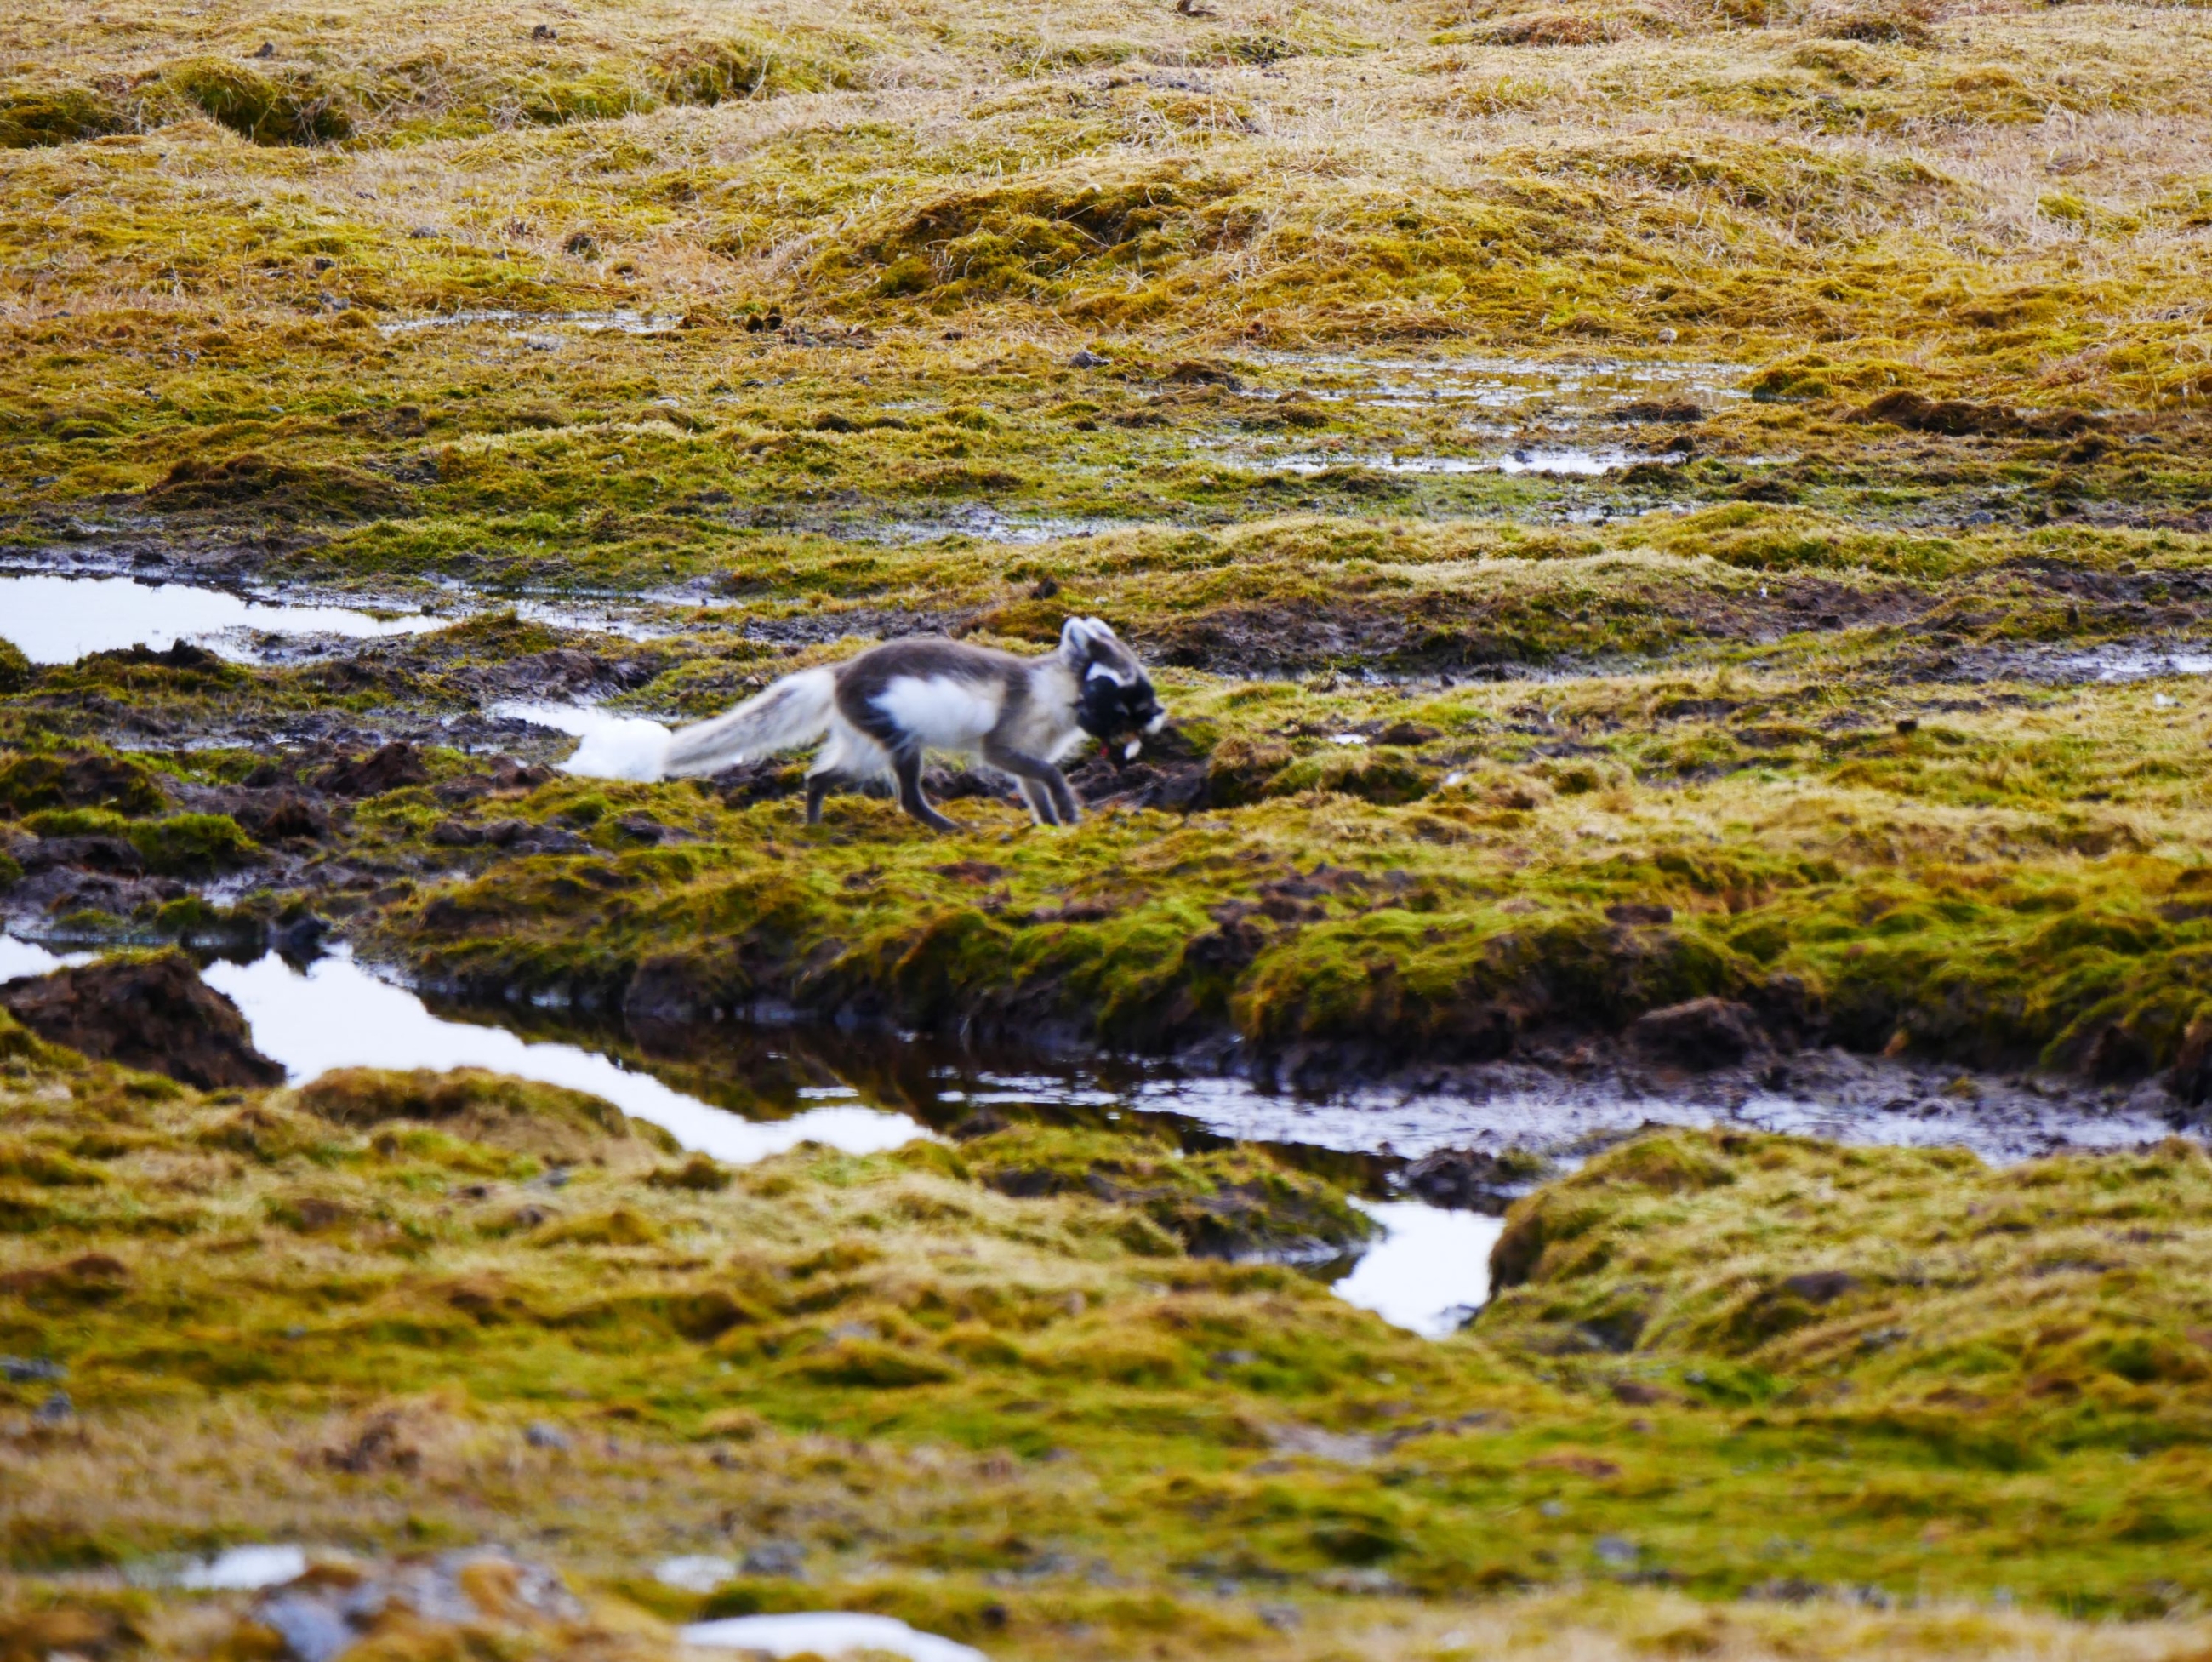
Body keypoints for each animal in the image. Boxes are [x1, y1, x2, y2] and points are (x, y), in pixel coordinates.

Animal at [576, 618, 1166, 831]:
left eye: (1142, 684)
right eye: (1118, 689)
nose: (1158, 716)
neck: (1051, 698)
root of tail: (837, 674)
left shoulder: (1028, 752)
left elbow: (1035, 783)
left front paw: (1051, 823)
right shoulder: (1003, 742)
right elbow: (1046, 773)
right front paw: (1068, 810)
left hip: (863, 746)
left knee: (818, 777)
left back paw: (814, 825)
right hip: (898, 738)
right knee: (905, 796)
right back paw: (947, 827)